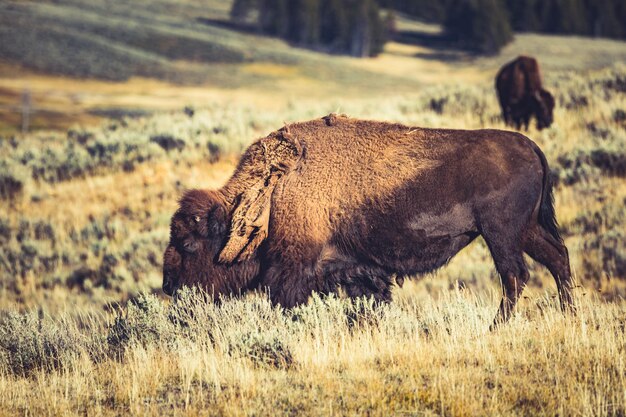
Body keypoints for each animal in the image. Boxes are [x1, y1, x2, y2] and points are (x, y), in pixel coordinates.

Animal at [163, 114, 572, 328]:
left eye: (188, 243)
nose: (169, 287)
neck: (273, 192)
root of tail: (530, 146)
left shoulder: (294, 267)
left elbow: (287, 300)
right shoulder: (356, 268)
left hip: (500, 233)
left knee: (515, 274)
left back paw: (494, 327)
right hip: (526, 229)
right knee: (557, 259)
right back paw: (569, 314)